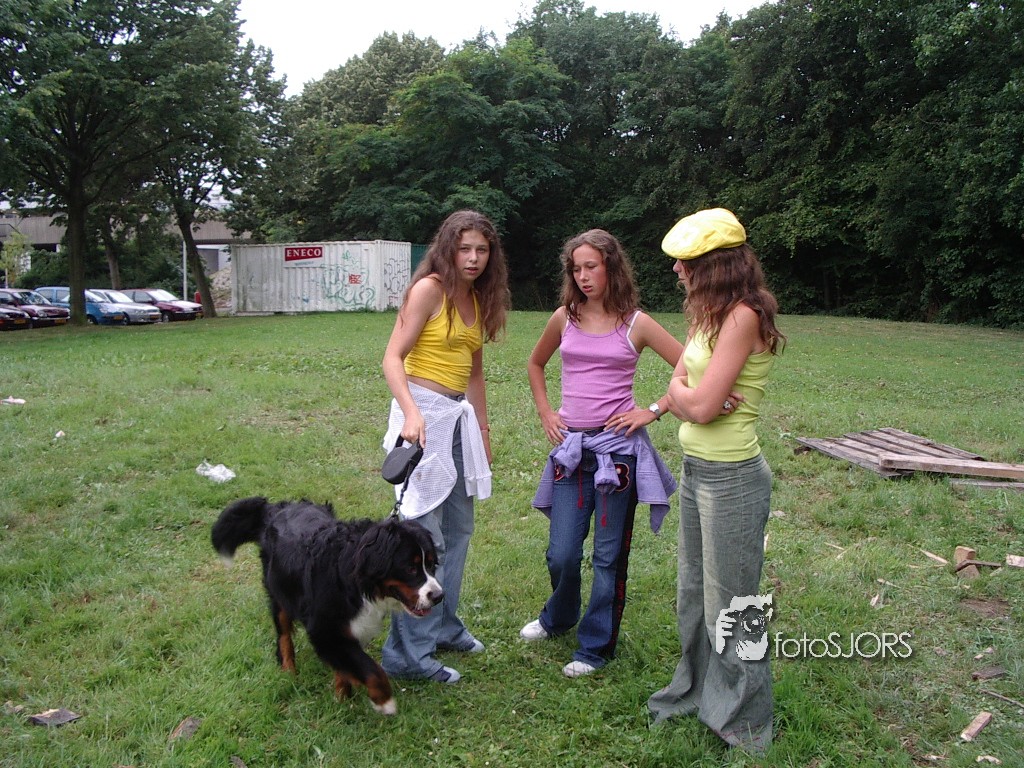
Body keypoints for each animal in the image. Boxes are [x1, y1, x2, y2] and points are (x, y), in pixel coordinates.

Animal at [211, 496, 443, 715]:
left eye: (431, 564)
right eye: (411, 568)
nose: (439, 596)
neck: (354, 579)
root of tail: (275, 507)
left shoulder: (351, 629)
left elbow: (348, 664)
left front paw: (342, 697)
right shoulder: (324, 630)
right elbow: (371, 670)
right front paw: (384, 701)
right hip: (280, 593)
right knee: (284, 636)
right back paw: (288, 672)